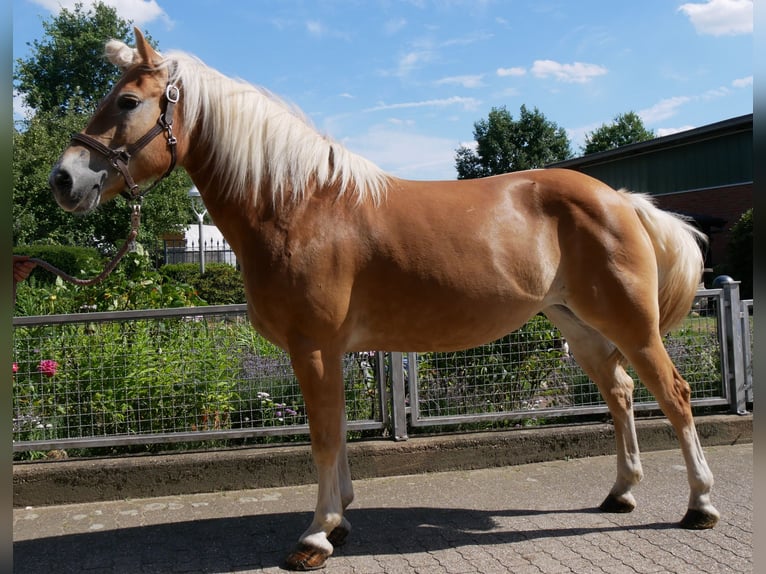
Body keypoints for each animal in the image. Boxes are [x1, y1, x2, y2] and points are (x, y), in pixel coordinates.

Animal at [49, 28, 719, 571]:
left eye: (128, 101)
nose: (63, 180)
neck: (299, 206)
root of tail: (619, 198)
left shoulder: (314, 347)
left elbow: (323, 436)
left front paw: (316, 536)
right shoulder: (330, 352)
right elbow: (338, 432)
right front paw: (339, 520)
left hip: (632, 326)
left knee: (675, 395)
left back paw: (700, 504)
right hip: (579, 327)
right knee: (622, 394)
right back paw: (621, 492)